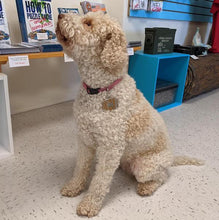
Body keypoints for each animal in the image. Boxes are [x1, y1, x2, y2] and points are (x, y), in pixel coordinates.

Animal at [55, 11, 203, 217]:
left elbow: (100, 182)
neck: (99, 90)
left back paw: (147, 187)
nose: (60, 15)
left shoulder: (110, 148)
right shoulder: (84, 139)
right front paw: (73, 187)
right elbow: (80, 168)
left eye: (88, 23)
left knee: (162, 176)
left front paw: (90, 204)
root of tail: (172, 158)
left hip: (145, 166)